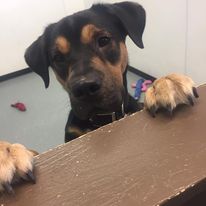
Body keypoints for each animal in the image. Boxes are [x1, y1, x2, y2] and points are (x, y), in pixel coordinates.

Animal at [0, 1, 200, 194]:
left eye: (103, 40)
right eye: (57, 58)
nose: (85, 88)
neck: (102, 118)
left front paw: (166, 84)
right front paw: (7, 153)